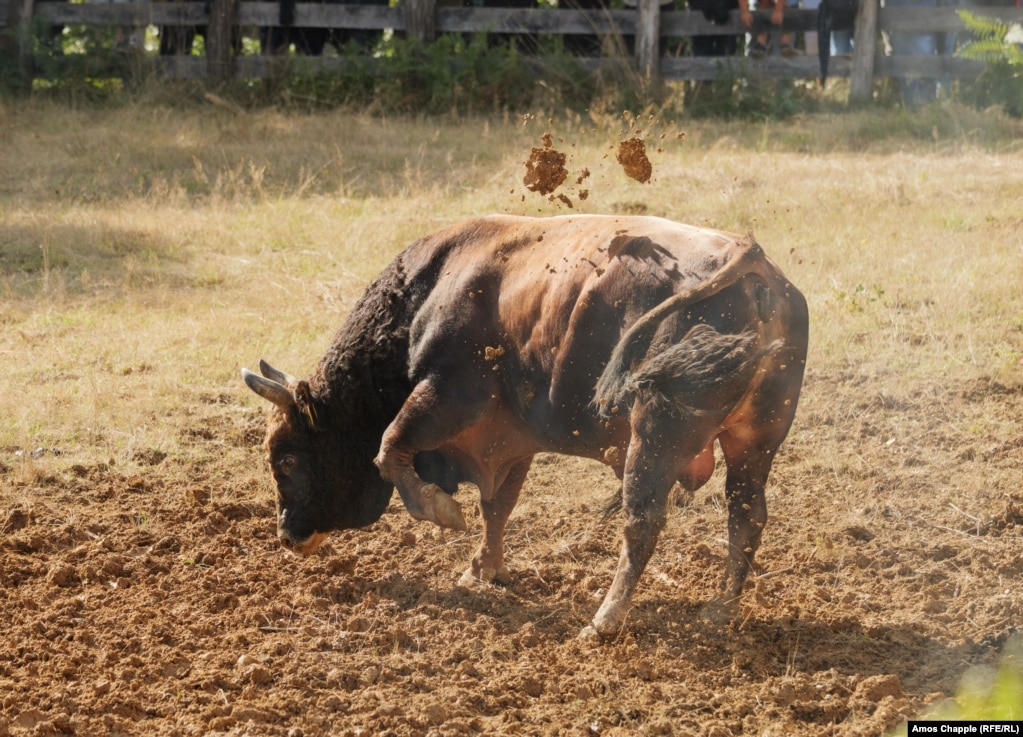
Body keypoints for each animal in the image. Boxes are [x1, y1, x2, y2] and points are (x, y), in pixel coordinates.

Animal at [241, 211, 806, 634]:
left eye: (286, 459)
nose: (287, 535)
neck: (430, 295)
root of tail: (752, 268)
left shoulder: (445, 395)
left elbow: (390, 448)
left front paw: (439, 508)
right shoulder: (508, 437)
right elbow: (498, 505)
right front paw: (482, 568)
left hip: (656, 436)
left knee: (642, 523)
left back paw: (605, 619)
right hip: (754, 442)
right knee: (746, 516)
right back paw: (720, 609)